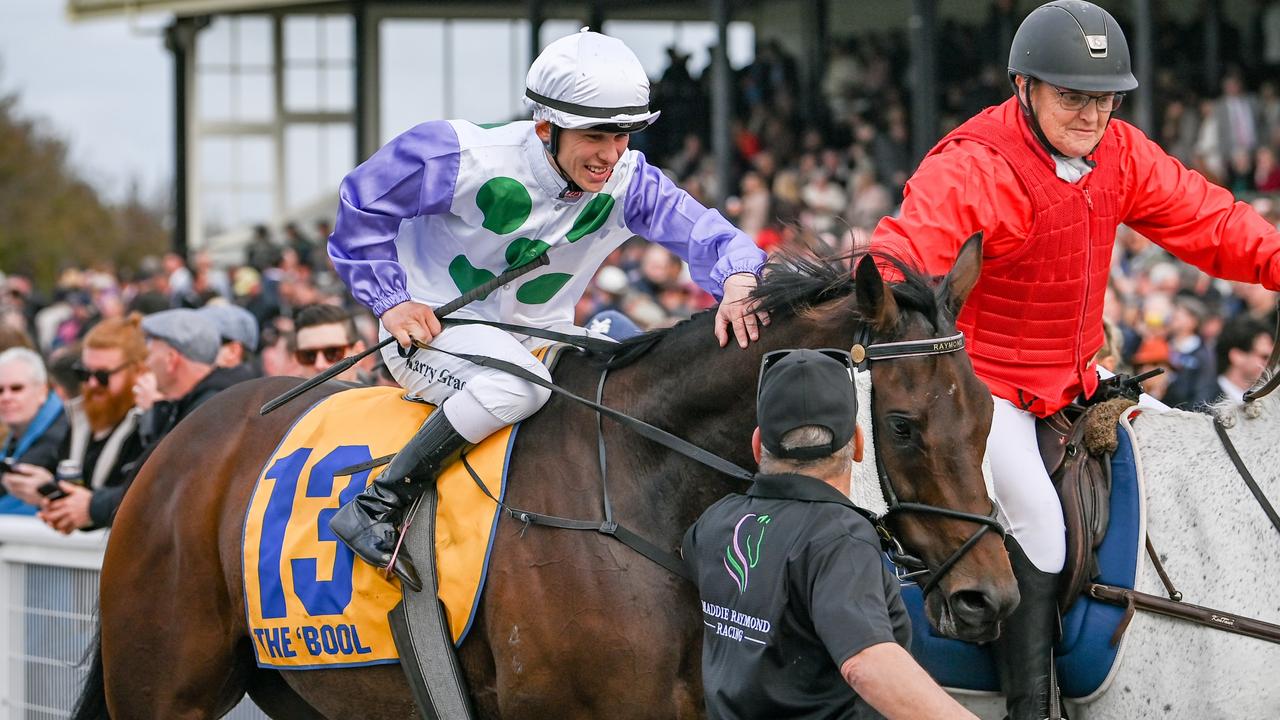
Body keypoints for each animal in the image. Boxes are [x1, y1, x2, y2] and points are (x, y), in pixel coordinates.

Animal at [74, 240, 1013, 717]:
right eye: (903, 424)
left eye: (989, 418)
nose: (989, 598)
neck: (639, 486)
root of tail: (177, 444)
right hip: (163, 688)